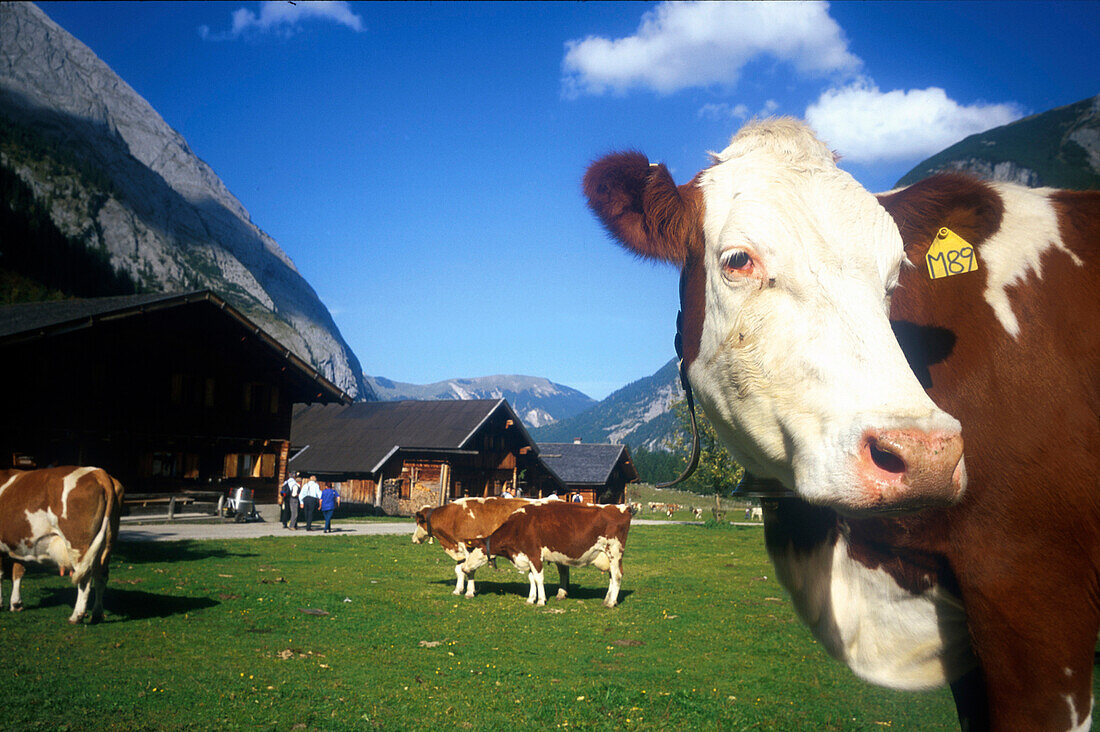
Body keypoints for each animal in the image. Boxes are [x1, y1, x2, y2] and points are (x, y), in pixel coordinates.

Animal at [0, 468, 124, 620]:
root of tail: (98, 472)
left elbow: (1, 574)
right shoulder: (20, 544)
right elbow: (18, 571)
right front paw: (16, 604)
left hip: (78, 546)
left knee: (85, 578)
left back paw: (76, 616)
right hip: (107, 545)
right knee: (101, 576)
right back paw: (97, 614)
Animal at [411, 497, 572, 598]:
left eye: (418, 522)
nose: (413, 539)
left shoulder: (468, 548)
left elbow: (470, 570)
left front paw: (469, 592)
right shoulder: (460, 549)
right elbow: (459, 570)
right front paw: (458, 590)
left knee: (563, 571)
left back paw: (561, 593)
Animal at [459, 499, 633, 607]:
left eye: (473, 550)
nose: (464, 568)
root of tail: (622, 508)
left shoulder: (535, 555)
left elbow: (538, 578)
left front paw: (541, 600)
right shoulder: (527, 557)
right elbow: (531, 578)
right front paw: (531, 599)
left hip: (614, 551)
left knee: (617, 575)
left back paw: (610, 603)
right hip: (608, 555)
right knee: (611, 576)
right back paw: (607, 599)